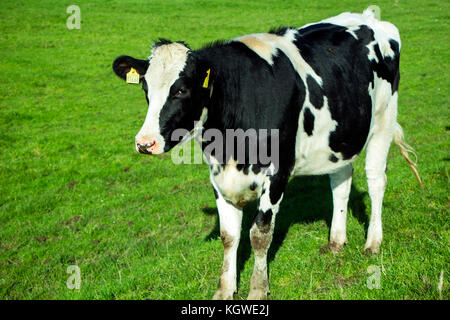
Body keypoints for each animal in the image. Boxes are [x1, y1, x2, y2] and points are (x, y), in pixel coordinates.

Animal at [112, 10, 422, 300]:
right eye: (145, 88)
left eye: (182, 90)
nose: (145, 142)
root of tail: (368, 17)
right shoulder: (218, 176)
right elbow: (229, 236)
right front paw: (224, 289)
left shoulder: (277, 172)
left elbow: (259, 235)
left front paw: (258, 289)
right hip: (340, 137)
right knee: (341, 183)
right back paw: (336, 241)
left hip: (383, 120)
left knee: (376, 180)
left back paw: (373, 243)